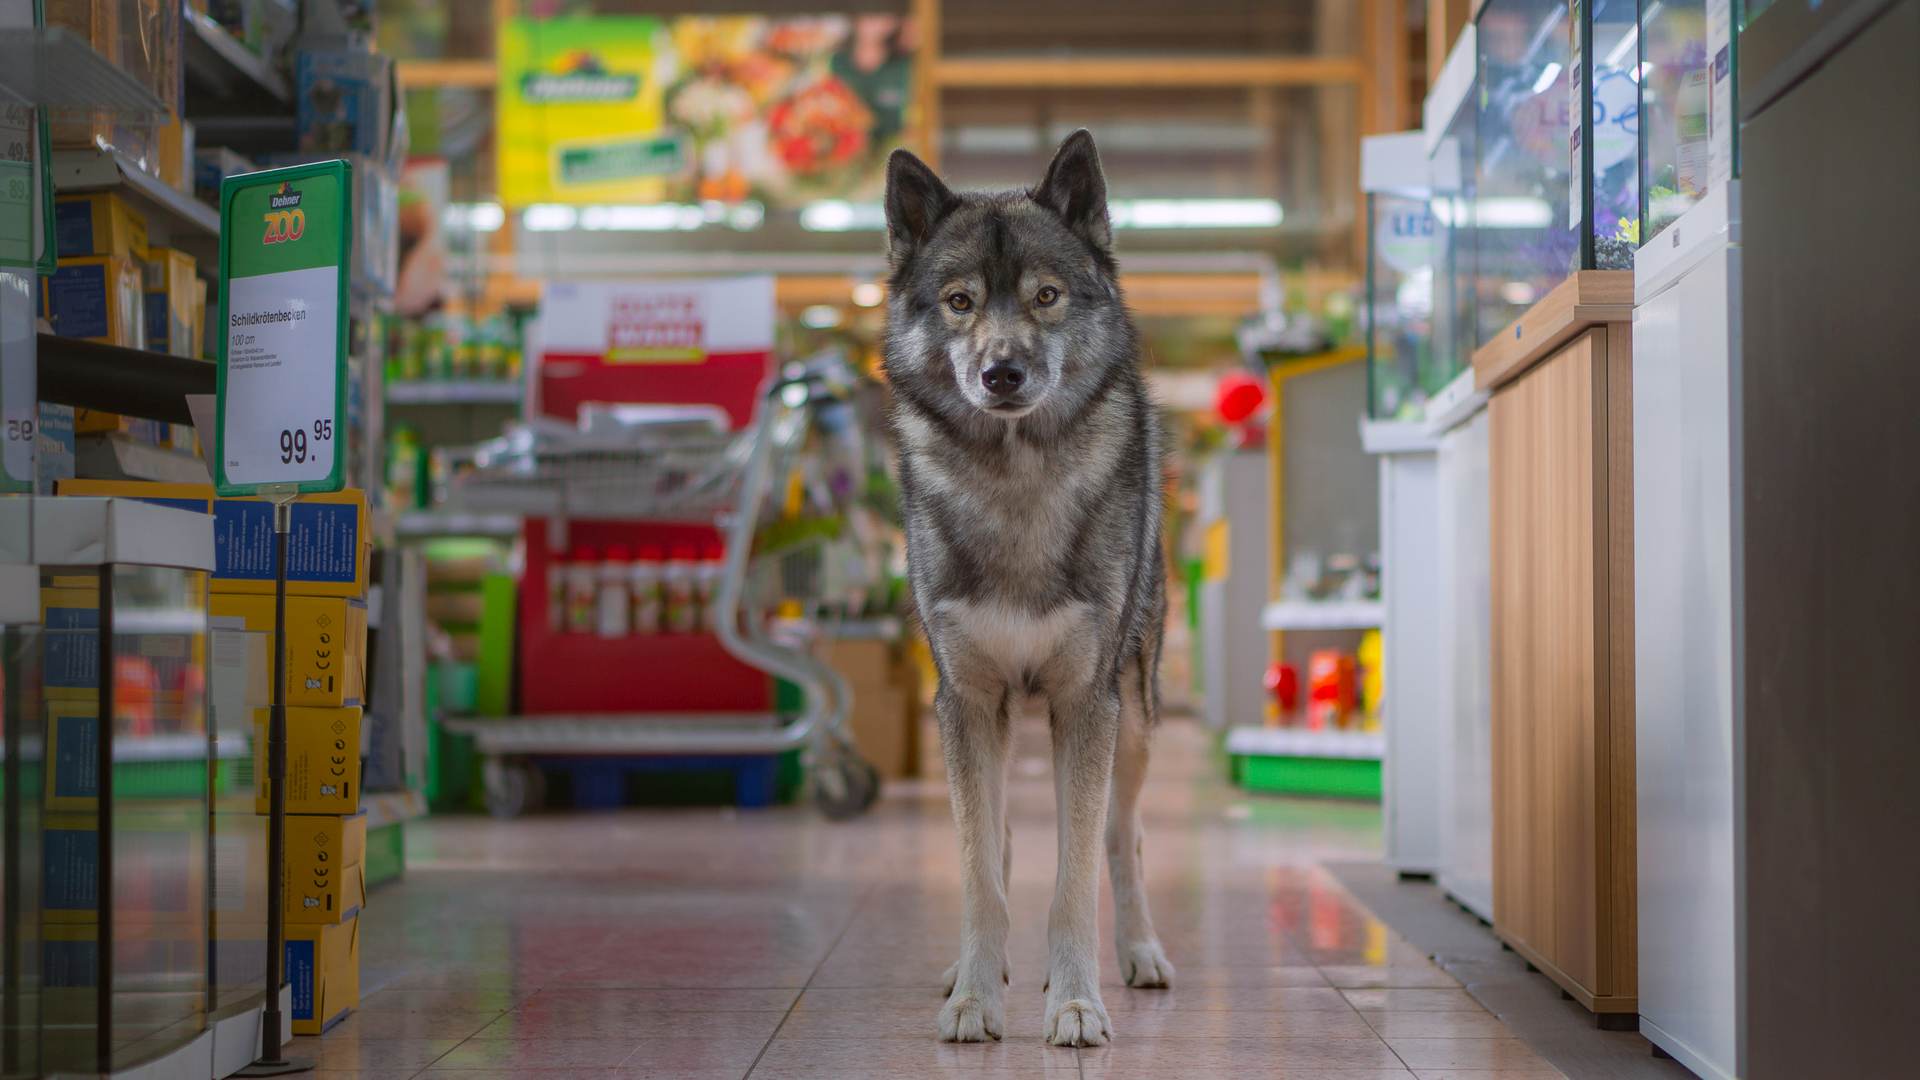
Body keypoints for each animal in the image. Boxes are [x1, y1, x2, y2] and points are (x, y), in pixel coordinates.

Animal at [883, 127, 1167, 1045]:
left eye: (1046, 296)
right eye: (960, 302)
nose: (1001, 373)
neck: (1017, 483)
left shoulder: (1085, 704)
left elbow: (1075, 880)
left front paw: (1075, 1002)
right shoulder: (967, 702)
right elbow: (983, 873)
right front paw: (975, 997)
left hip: (1135, 717)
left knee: (1124, 841)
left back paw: (1141, 956)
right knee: (1001, 837)